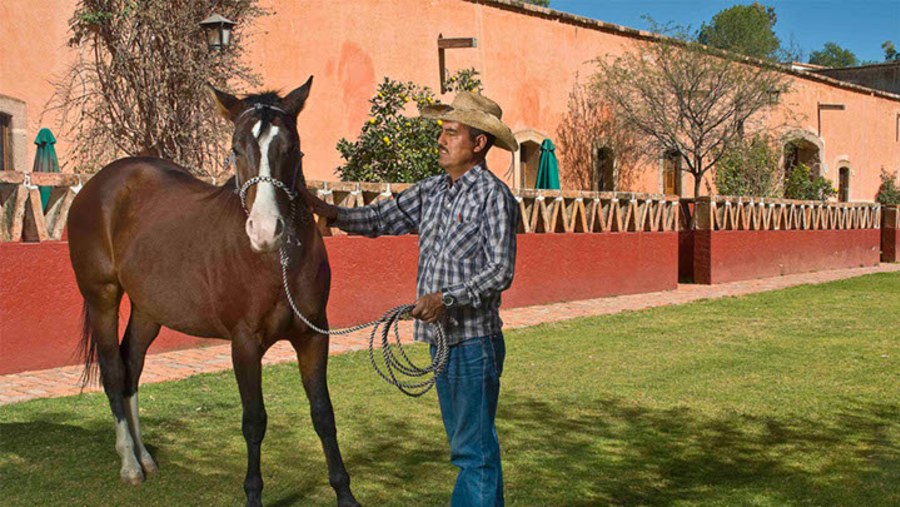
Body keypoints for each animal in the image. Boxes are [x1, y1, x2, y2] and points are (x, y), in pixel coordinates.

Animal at [67, 77, 358, 506]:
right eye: (236, 148)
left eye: (292, 147)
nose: (265, 231)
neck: (277, 264)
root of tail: (101, 182)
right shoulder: (245, 343)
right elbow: (254, 421)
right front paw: (253, 494)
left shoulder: (312, 336)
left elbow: (323, 413)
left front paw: (344, 493)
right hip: (101, 296)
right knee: (114, 370)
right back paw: (130, 463)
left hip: (148, 309)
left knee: (132, 364)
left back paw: (145, 456)